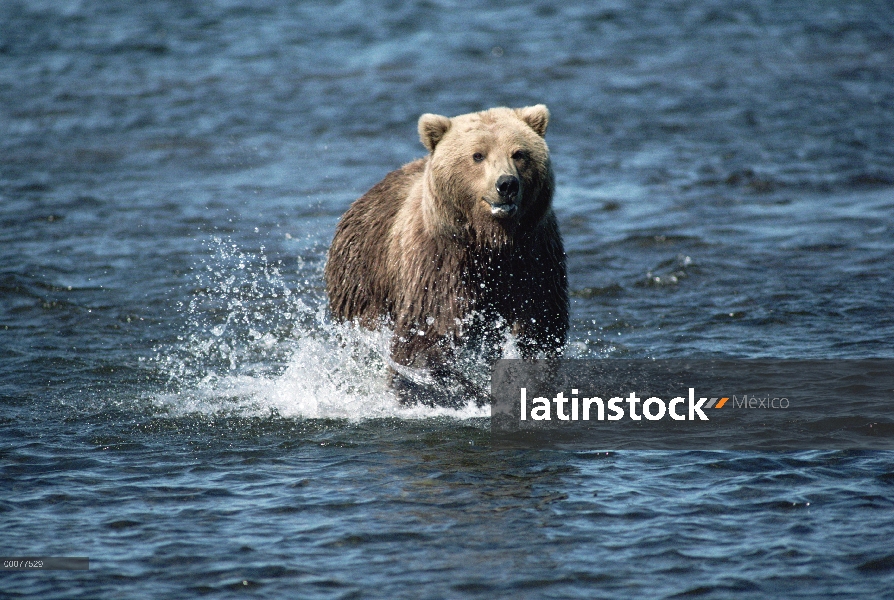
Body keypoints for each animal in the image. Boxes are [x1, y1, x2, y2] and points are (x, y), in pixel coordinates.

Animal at [326, 105, 572, 404]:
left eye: (519, 153)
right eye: (478, 155)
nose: (506, 184)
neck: (491, 241)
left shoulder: (533, 259)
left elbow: (540, 329)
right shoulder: (441, 265)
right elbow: (424, 339)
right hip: (364, 281)